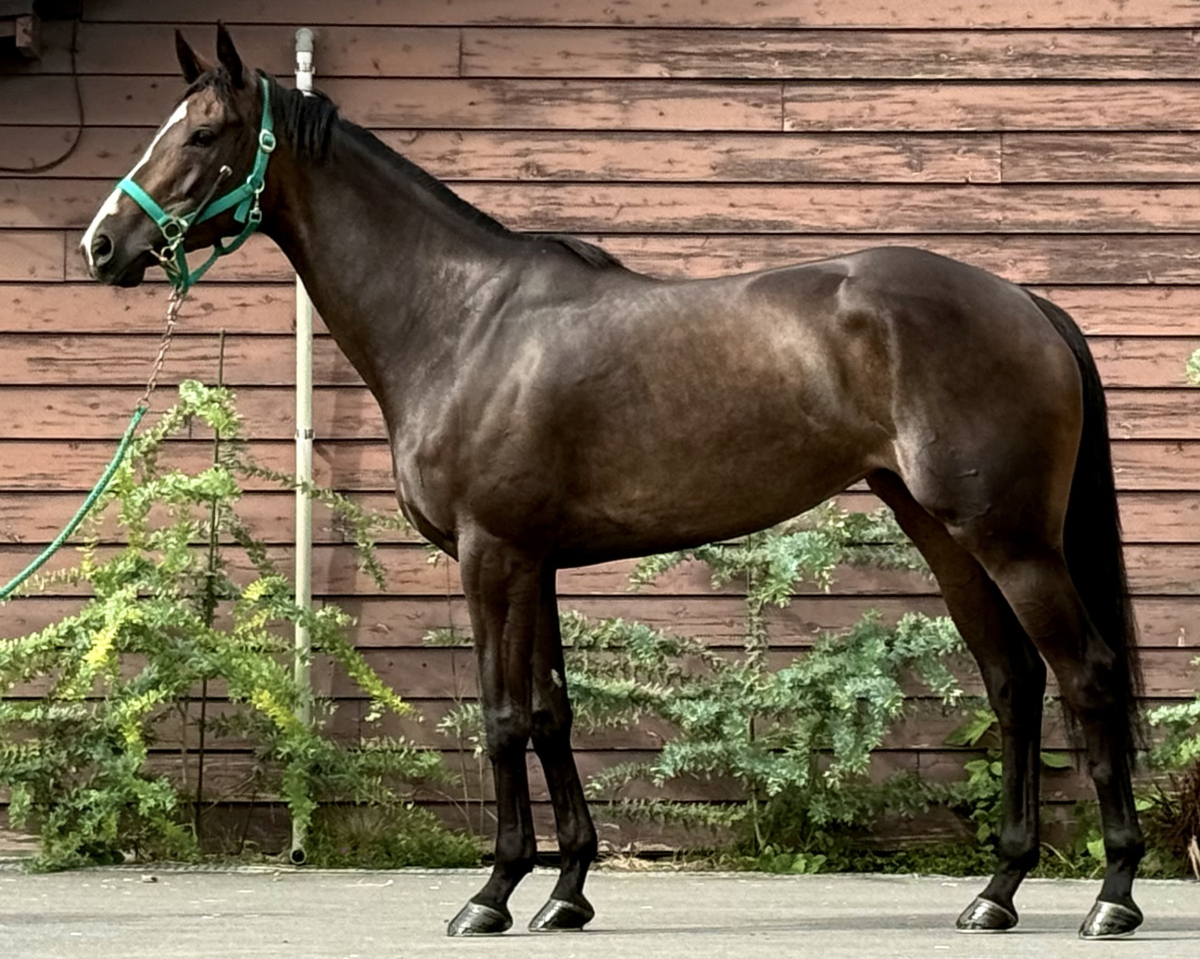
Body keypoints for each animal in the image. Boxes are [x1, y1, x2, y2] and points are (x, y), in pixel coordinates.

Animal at [82, 26, 1146, 940]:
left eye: (204, 134)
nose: (101, 245)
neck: (461, 317)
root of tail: (1027, 302)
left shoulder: (491, 556)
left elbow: (502, 718)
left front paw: (491, 892)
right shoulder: (537, 561)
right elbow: (553, 712)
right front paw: (567, 891)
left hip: (1010, 539)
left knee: (1086, 676)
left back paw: (1112, 895)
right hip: (942, 530)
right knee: (1013, 683)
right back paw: (998, 890)